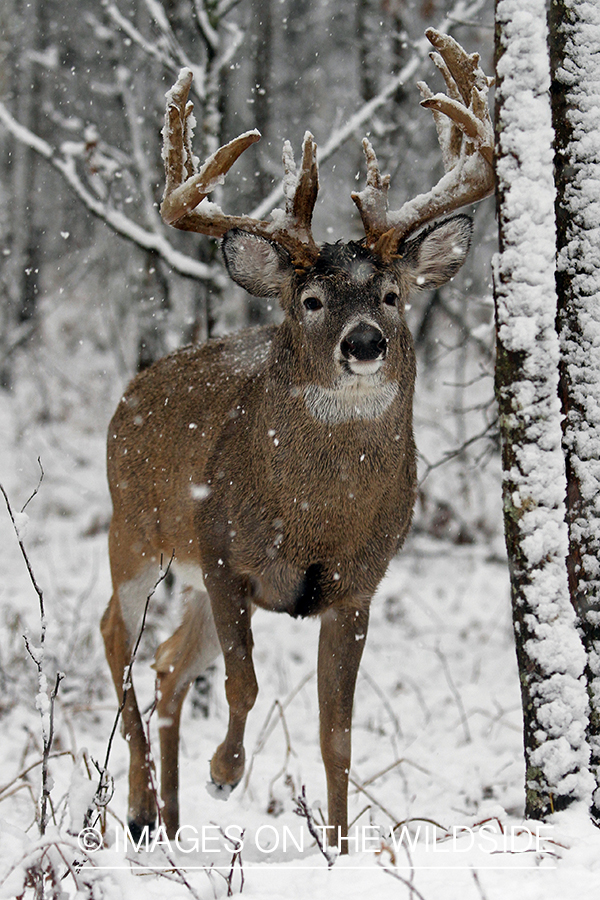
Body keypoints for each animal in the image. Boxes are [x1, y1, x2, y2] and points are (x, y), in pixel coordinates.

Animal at [99, 28, 492, 856]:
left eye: (392, 294)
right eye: (309, 299)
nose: (365, 343)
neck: (315, 517)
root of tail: (134, 388)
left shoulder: (357, 586)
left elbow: (335, 732)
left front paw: (340, 850)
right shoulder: (221, 549)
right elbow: (245, 682)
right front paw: (225, 771)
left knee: (168, 663)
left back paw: (172, 823)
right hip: (137, 529)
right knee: (118, 634)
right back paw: (143, 809)